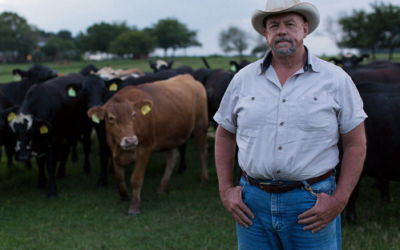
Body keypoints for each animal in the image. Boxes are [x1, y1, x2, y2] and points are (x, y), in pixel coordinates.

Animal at [88, 73, 209, 215]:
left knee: (202, 152)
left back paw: (204, 180)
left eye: (134, 115)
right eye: (111, 118)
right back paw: (163, 186)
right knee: (172, 157)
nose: (130, 140)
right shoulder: (113, 150)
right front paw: (124, 195)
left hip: (201, 126)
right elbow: (119, 176)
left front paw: (134, 206)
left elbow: (136, 179)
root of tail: (188, 77)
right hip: (172, 134)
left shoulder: (144, 149)